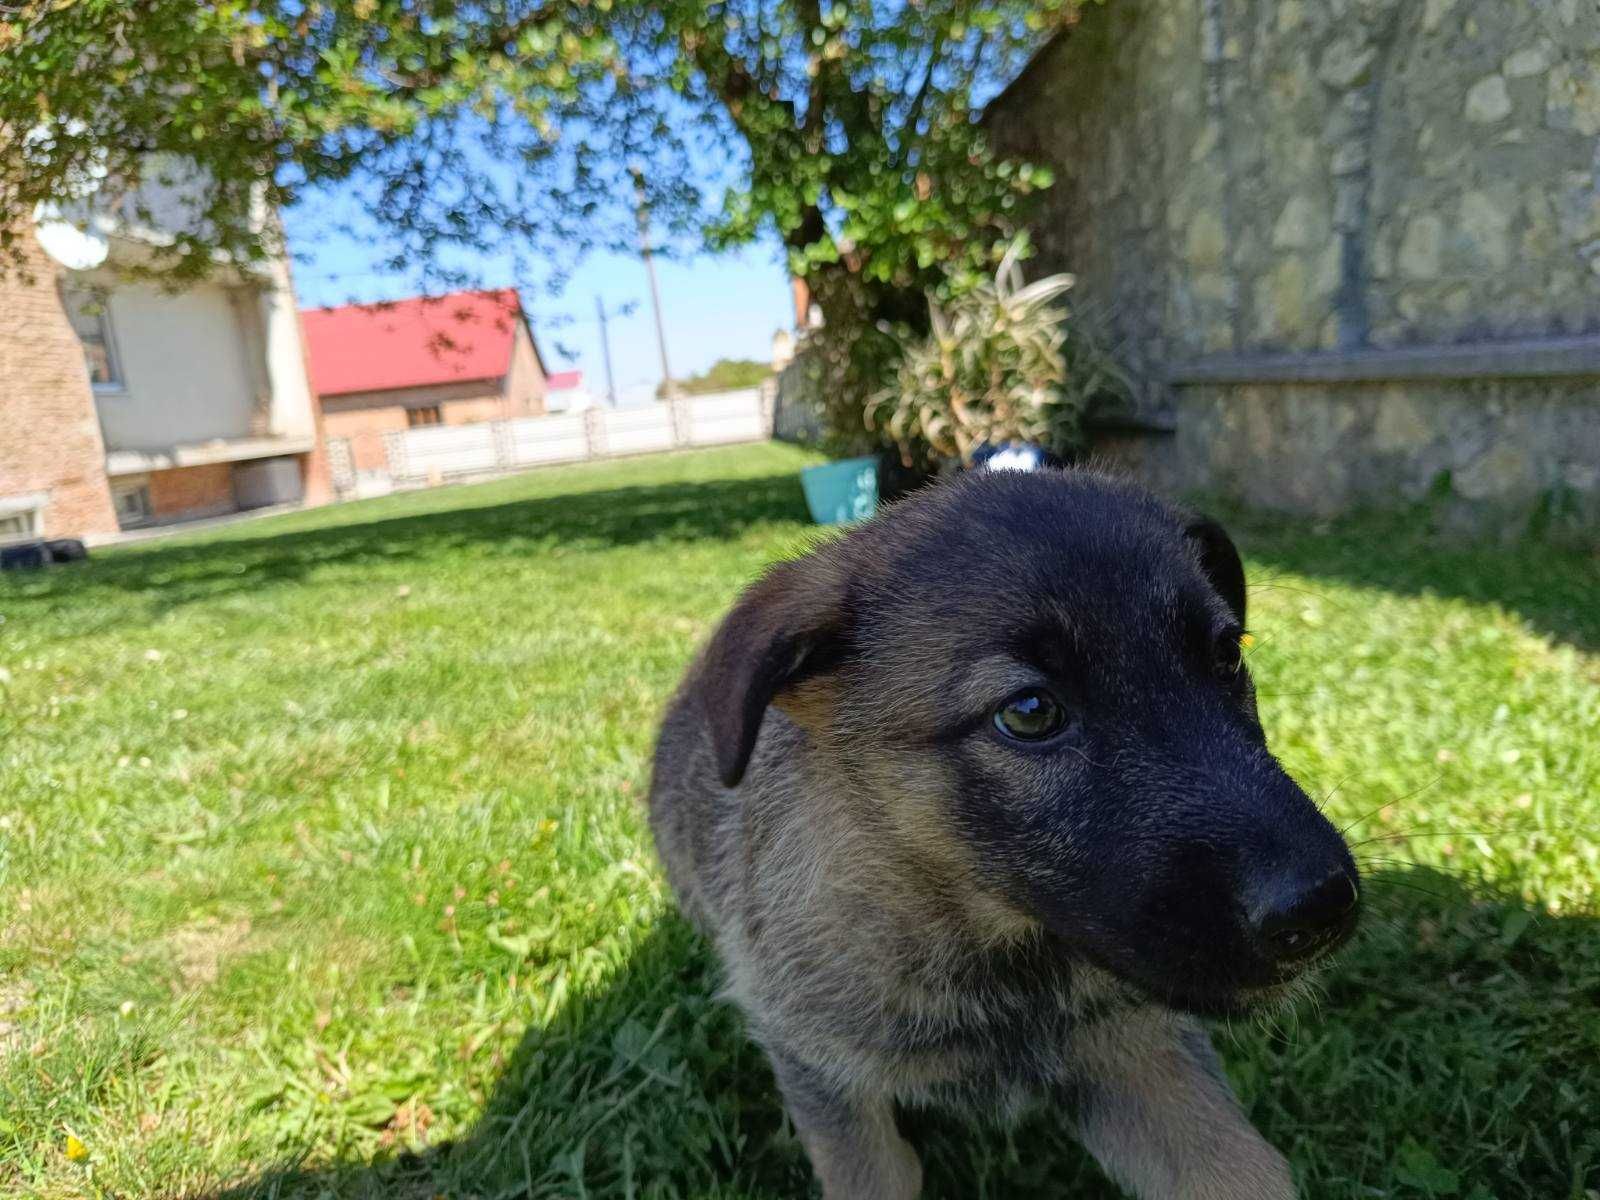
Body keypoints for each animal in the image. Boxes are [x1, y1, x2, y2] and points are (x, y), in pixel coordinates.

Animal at [649, 470, 1363, 1200]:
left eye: (1225, 657)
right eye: (1028, 711)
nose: (1324, 907)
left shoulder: (1145, 1054)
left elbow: (1243, 1169)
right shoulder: (827, 1079)